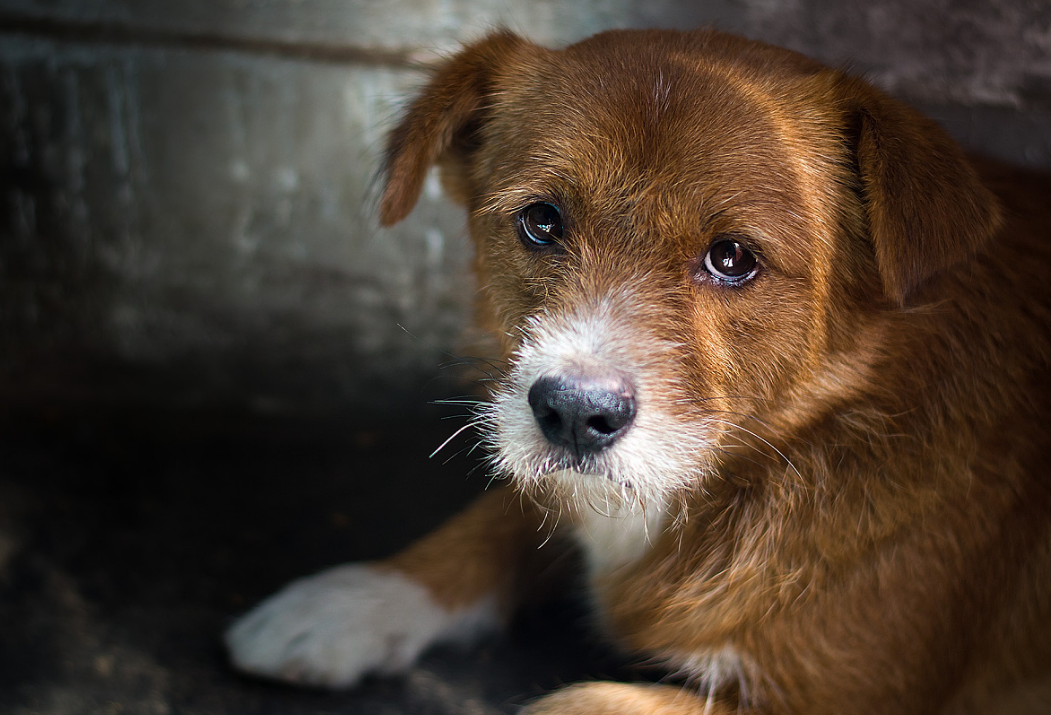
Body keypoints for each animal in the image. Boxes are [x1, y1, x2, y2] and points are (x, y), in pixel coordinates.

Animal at [225, 27, 1051, 715]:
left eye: (732, 257)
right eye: (541, 221)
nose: (571, 413)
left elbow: (575, 701)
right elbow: (501, 512)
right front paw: (349, 598)